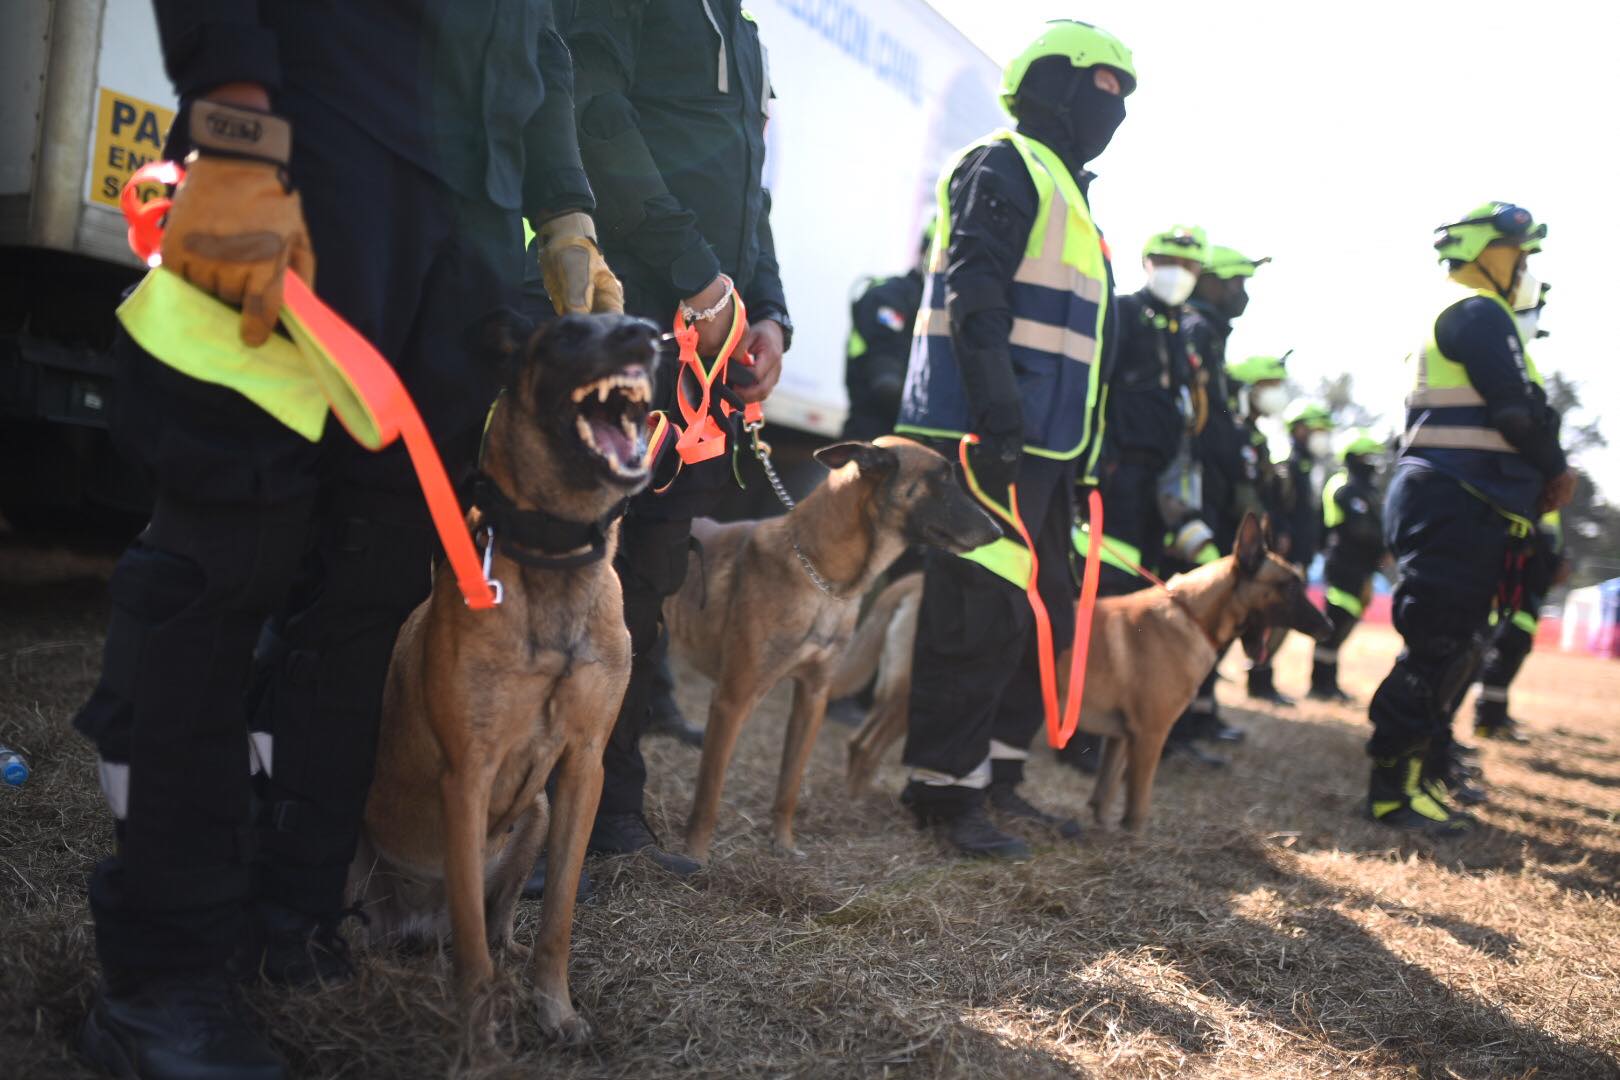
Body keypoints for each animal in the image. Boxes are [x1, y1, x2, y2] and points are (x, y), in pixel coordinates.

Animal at [353, 312, 657, 1049]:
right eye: (570, 330)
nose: (647, 334)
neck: (555, 552)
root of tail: (415, 923)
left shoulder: (582, 769)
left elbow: (557, 915)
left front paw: (554, 1008)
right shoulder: (468, 773)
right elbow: (471, 942)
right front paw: (481, 1032)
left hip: (537, 813)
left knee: (498, 924)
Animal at [660, 433, 997, 867]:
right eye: (940, 479)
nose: (997, 530)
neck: (822, 579)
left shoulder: (813, 698)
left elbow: (789, 784)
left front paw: (783, 845)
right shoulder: (732, 701)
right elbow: (709, 794)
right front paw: (695, 857)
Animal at [842, 511, 1334, 835]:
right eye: (1290, 586)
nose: (1329, 626)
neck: (1189, 613)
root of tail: (912, 581)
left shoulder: (1121, 737)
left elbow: (1105, 791)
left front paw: (1101, 829)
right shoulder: (1150, 736)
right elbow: (1138, 801)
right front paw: (1135, 840)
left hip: (899, 697)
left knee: (858, 743)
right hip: (920, 695)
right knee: (867, 746)